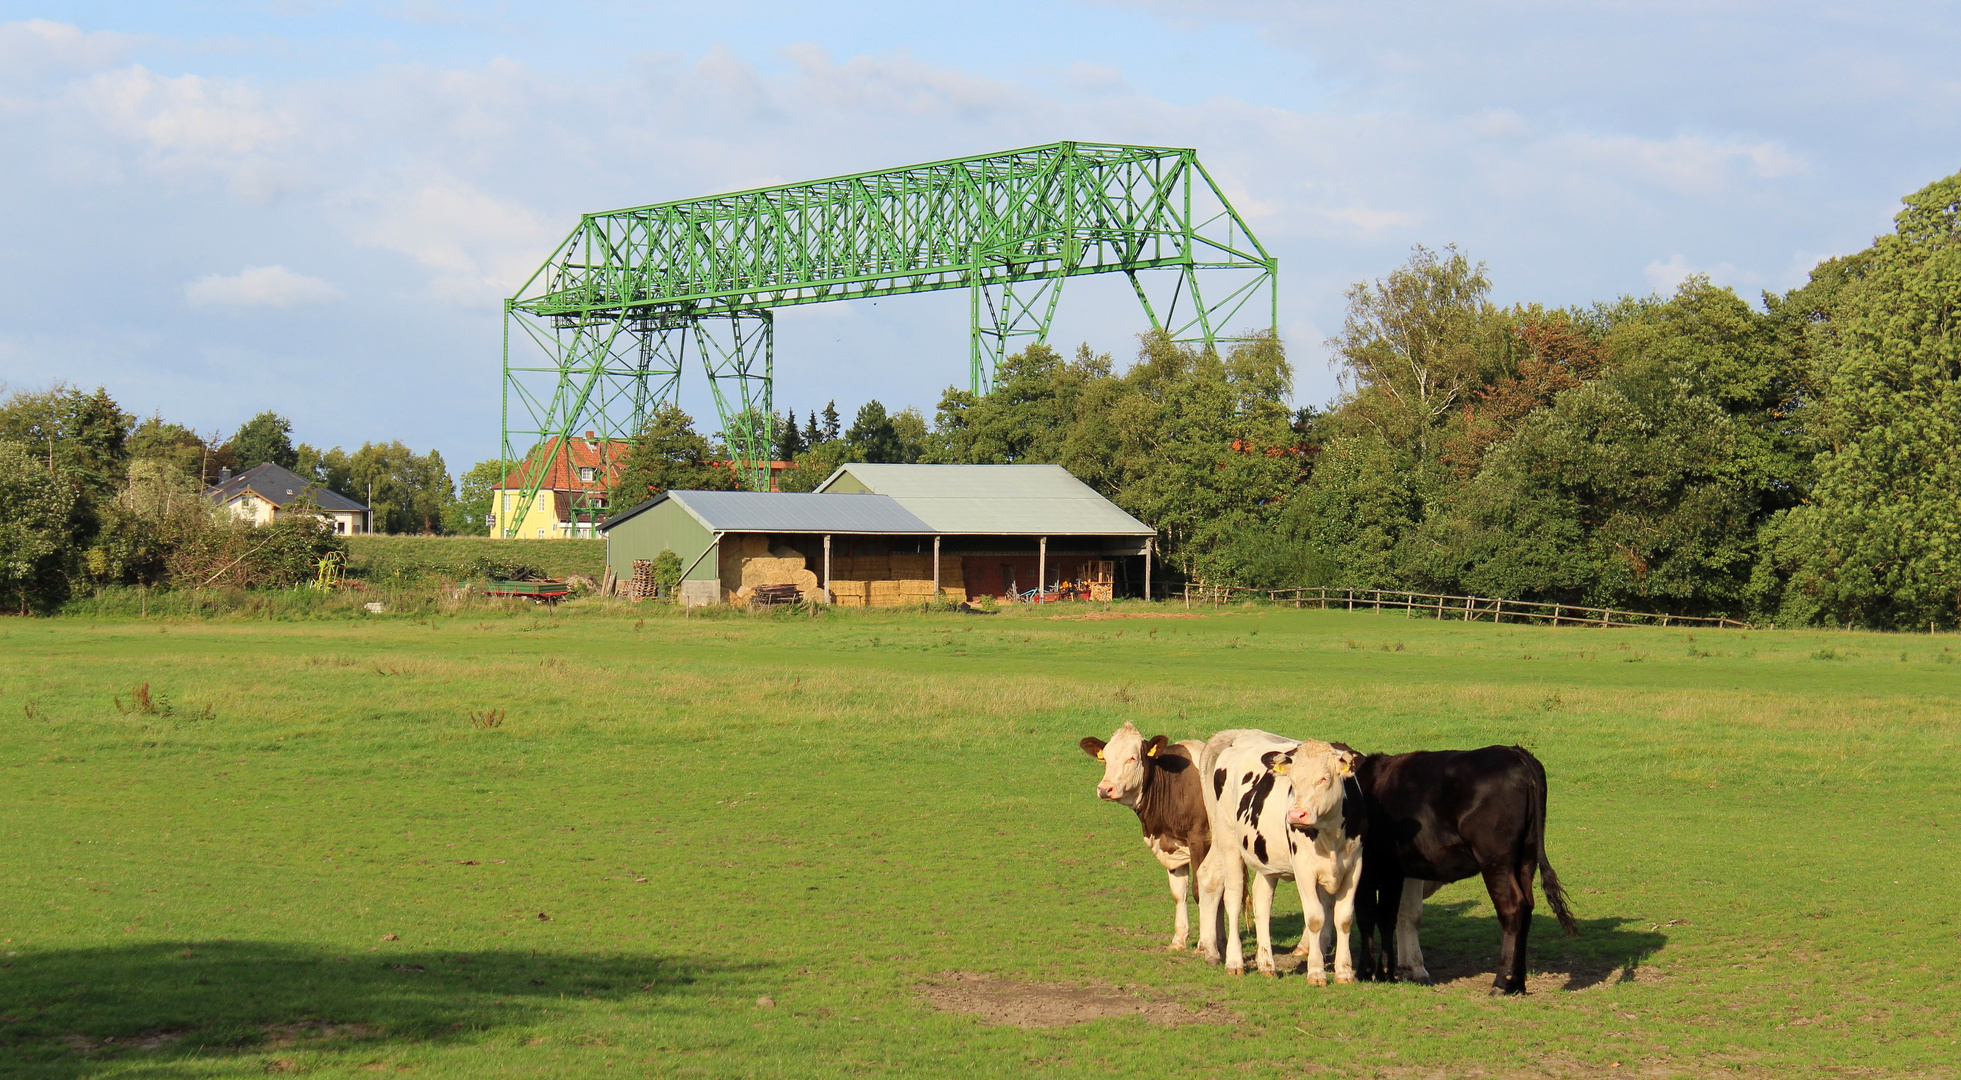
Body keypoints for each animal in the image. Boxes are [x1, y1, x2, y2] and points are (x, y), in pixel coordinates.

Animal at [1082, 721, 1215, 952]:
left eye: (1132, 758)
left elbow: (1200, 890)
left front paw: (1204, 945)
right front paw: (1179, 940)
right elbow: (1179, 893)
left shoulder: (1200, 840)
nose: (1105, 789)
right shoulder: (1170, 844)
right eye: (1105, 758)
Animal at [1192, 733, 1364, 983]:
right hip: (1227, 840)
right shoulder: (1303, 868)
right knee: (1232, 896)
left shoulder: (1354, 866)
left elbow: (1344, 918)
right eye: (1292, 781)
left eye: (1325, 778)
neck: (1330, 835)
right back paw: (1234, 961)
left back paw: (1263, 963)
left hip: (1262, 858)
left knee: (1256, 898)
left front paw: (1344, 971)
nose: (1296, 814)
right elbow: (1315, 917)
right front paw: (1316, 972)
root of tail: (1241, 734)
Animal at [1349, 744, 1576, 995]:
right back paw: (1517, 983)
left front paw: (1365, 971)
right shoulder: (1393, 871)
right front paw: (1386, 973)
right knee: (1527, 908)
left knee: (1512, 907)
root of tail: (1514, 752)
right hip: (1526, 858)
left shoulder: (1365, 870)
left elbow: (1366, 917)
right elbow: (1387, 917)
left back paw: (1501, 982)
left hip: (1496, 861)